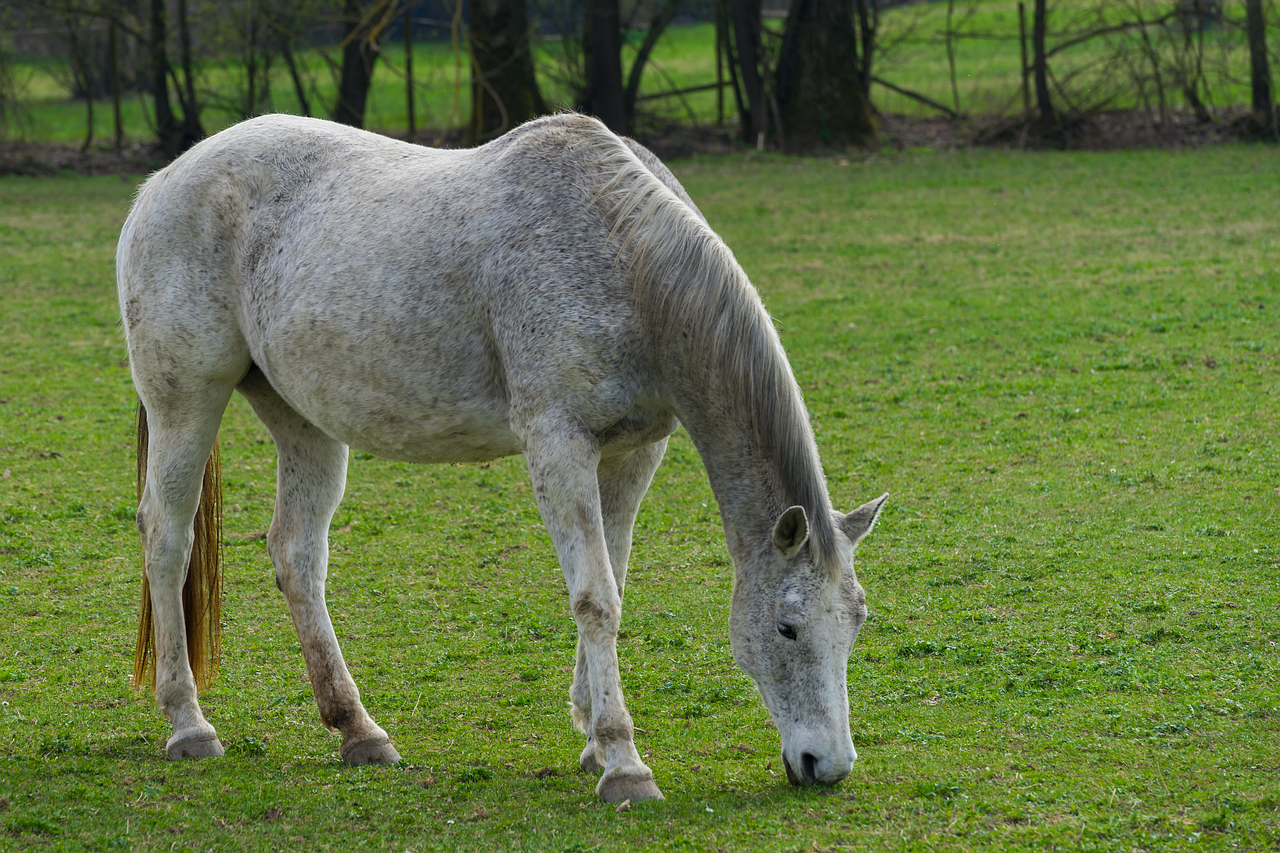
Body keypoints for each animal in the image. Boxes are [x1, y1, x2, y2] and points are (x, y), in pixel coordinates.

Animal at [115, 111, 885, 799]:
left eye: (854, 623)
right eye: (787, 627)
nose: (827, 764)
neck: (621, 258)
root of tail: (163, 182)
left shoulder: (634, 454)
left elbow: (613, 580)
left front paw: (592, 737)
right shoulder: (557, 444)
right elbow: (595, 597)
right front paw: (624, 765)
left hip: (303, 420)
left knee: (296, 554)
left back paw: (358, 731)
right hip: (187, 402)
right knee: (168, 539)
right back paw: (189, 724)